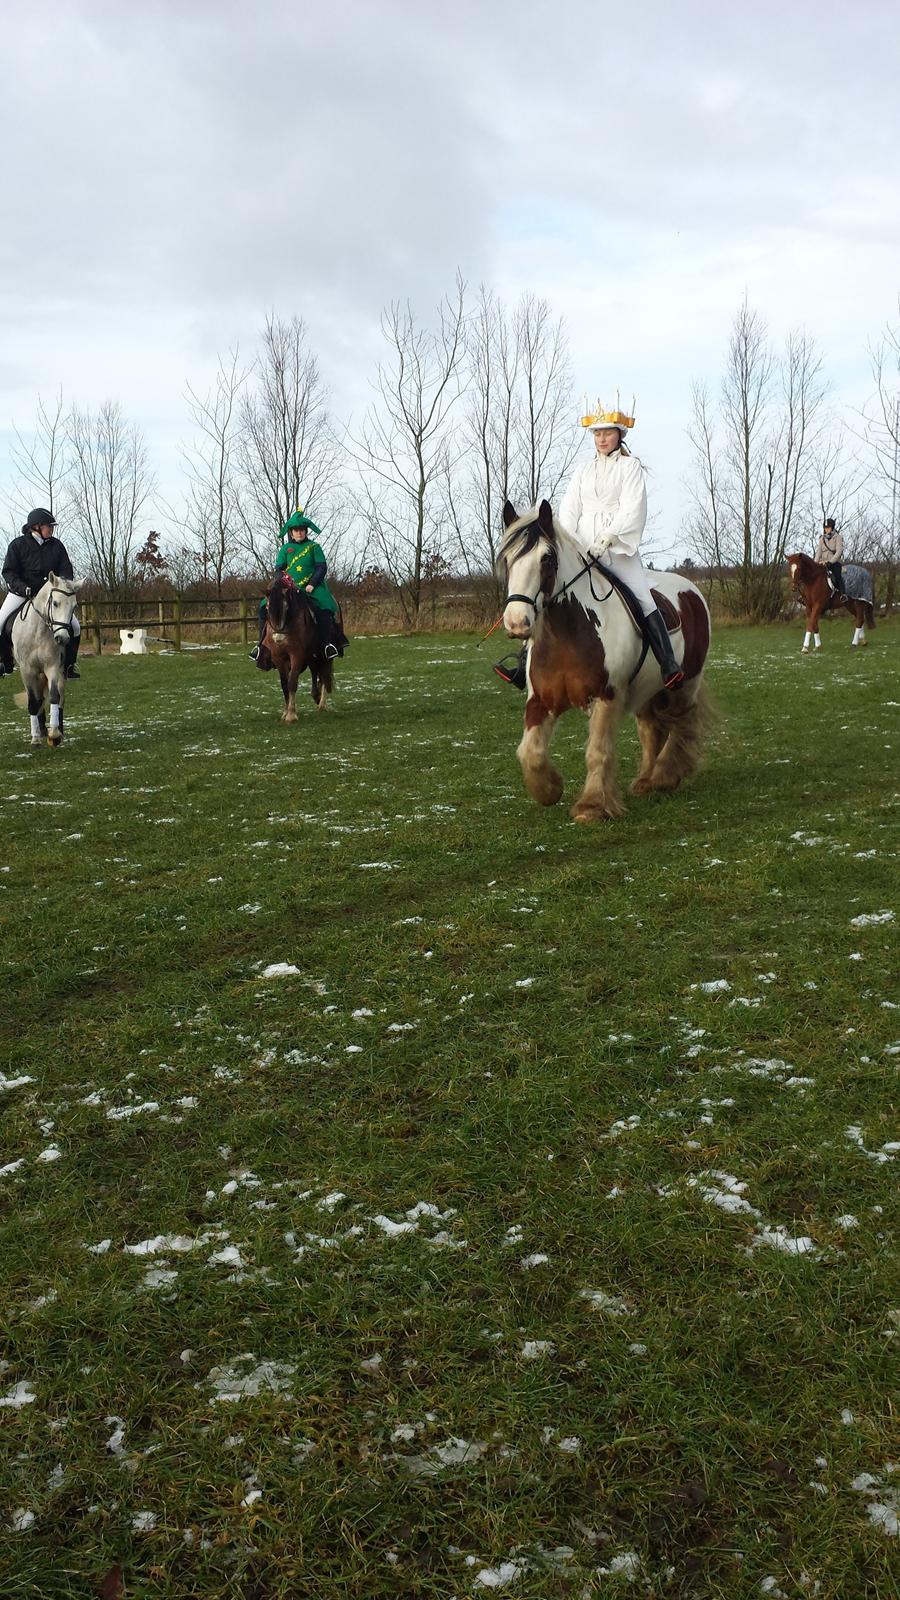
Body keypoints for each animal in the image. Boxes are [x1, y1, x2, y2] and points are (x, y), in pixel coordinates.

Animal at [11, 576, 80, 748]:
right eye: (55, 603)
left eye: (74, 606)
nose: (62, 639)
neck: (38, 631)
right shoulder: (27, 670)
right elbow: (33, 702)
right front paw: (35, 739)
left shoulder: (52, 667)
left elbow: (54, 697)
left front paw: (54, 735)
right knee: (38, 699)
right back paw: (41, 731)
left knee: (59, 698)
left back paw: (57, 732)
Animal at [262, 572, 333, 723]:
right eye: (267, 608)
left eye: (286, 607)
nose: (278, 638)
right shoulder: (278, 657)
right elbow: (284, 684)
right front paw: (285, 712)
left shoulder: (297, 654)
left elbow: (292, 682)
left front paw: (291, 715)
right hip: (311, 655)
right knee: (315, 672)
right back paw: (316, 696)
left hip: (324, 656)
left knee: (325, 674)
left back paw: (322, 704)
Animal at [496, 502, 707, 825]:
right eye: (508, 559)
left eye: (547, 558)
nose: (517, 622)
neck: (568, 634)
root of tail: (690, 589)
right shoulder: (540, 700)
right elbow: (530, 752)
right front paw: (549, 790)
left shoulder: (606, 696)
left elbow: (598, 751)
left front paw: (592, 806)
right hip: (644, 690)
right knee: (651, 729)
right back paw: (645, 781)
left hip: (685, 685)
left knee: (681, 724)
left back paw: (665, 776)